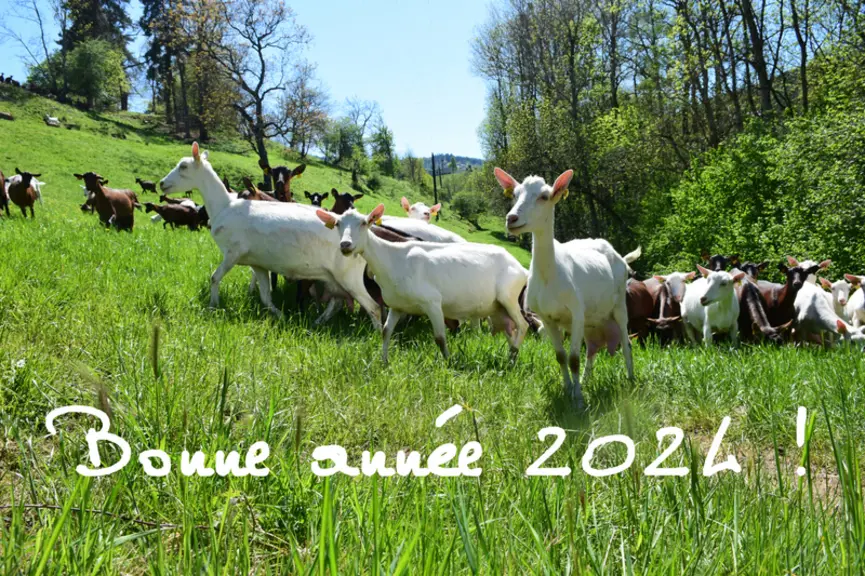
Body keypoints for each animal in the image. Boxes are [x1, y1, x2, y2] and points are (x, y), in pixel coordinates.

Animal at [159, 143, 381, 327]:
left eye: (183, 166)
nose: (161, 183)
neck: (224, 206)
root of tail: (368, 238)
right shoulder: (257, 263)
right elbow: (266, 296)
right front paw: (281, 316)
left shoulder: (233, 253)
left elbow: (214, 278)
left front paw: (213, 306)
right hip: (333, 277)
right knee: (336, 303)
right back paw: (315, 324)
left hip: (349, 277)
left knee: (374, 308)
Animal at [316, 204, 528, 362]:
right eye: (337, 224)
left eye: (363, 223)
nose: (345, 245)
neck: (392, 257)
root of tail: (521, 268)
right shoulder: (397, 305)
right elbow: (385, 331)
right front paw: (384, 362)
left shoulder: (432, 303)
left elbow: (440, 338)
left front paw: (448, 363)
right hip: (497, 308)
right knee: (511, 330)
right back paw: (510, 355)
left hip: (509, 297)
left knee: (523, 325)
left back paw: (513, 357)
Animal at [498, 167, 633, 408]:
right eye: (514, 194)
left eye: (544, 196)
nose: (511, 218)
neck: (550, 275)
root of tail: (620, 257)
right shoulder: (548, 317)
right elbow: (561, 357)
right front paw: (570, 389)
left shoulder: (576, 313)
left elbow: (573, 359)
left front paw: (578, 399)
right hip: (592, 318)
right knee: (592, 348)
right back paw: (587, 380)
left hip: (619, 305)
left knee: (626, 343)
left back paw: (631, 380)